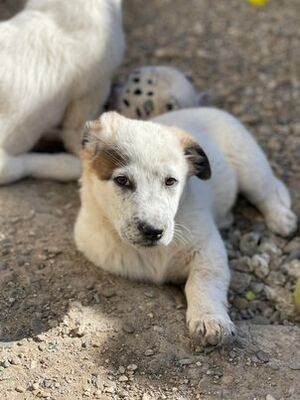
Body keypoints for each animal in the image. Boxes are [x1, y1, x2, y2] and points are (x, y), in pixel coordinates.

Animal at [74, 108, 296, 346]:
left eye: (171, 181)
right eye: (122, 180)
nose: (153, 231)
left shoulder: (209, 247)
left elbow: (204, 280)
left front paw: (210, 319)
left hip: (250, 166)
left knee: (268, 193)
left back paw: (282, 220)